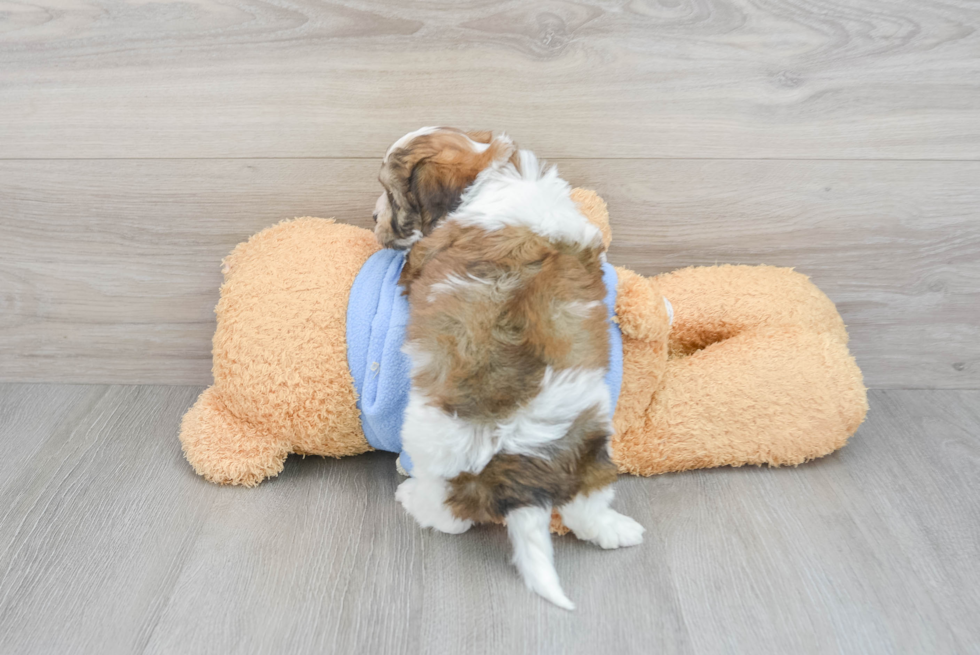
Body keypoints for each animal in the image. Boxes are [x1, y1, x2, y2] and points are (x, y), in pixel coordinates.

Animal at [376, 127, 644, 608]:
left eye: (388, 194)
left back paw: (411, 497)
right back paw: (616, 530)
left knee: (451, 516)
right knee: (587, 503)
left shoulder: (425, 255)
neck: (491, 172)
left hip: (433, 440)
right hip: (589, 445)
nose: (373, 217)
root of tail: (523, 463)